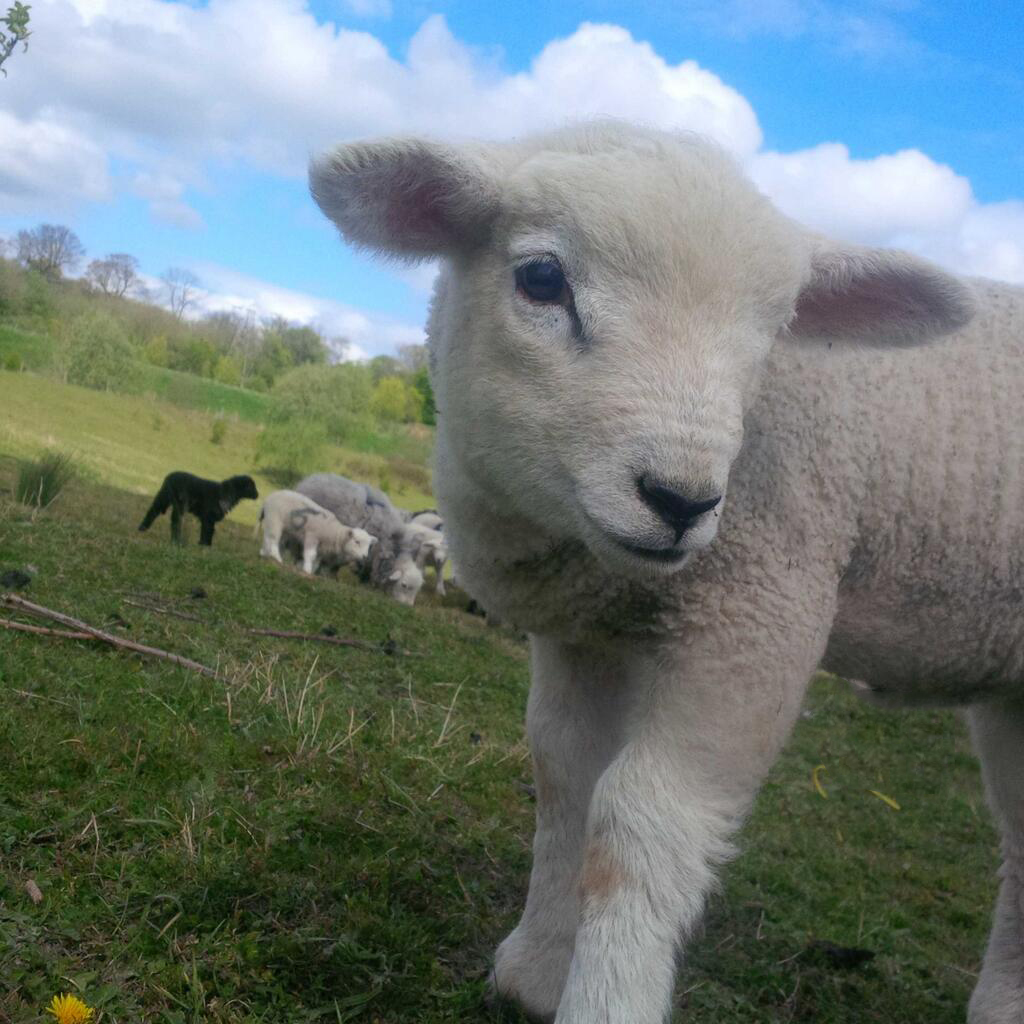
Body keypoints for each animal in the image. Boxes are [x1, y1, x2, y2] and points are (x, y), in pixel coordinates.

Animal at [310, 120, 1024, 1024]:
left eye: (778, 327)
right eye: (540, 279)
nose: (681, 500)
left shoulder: (760, 608)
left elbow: (641, 821)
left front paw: (604, 997)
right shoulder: (586, 632)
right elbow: (565, 778)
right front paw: (537, 970)